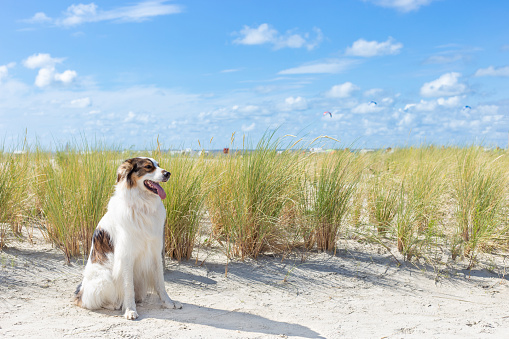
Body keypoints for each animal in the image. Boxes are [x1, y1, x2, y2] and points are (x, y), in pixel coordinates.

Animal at [73, 158, 181, 320]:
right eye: (148, 167)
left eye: (159, 165)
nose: (168, 173)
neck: (142, 205)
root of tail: (81, 292)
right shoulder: (126, 256)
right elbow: (128, 287)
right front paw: (130, 309)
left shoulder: (155, 253)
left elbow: (160, 282)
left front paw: (168, 302)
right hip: (105, 278)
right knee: (91, 302)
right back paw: (115, 304)